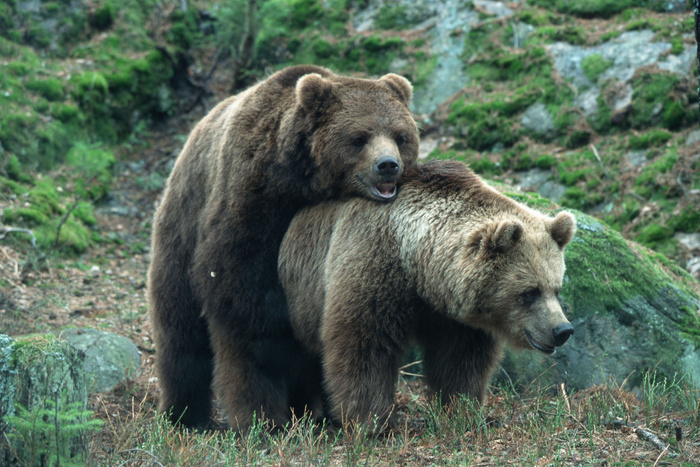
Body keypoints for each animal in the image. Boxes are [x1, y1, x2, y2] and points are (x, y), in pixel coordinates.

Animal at [147, 65, 418, 432]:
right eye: (359, 137)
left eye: (400, 135)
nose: (388, 165)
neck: (303, 182)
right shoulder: (252, 203)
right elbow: (244, 310)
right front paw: (260, 415)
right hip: (182, 226)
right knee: (180, 328)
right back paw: (185, 413)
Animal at [276, 160, 576, 432]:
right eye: (529, 292)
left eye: (556, 288)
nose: (562, 330)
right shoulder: (372, 266)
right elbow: (364, 346)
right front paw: (371, 422)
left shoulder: (455, 319)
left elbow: (460, 362)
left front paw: (462, 411)